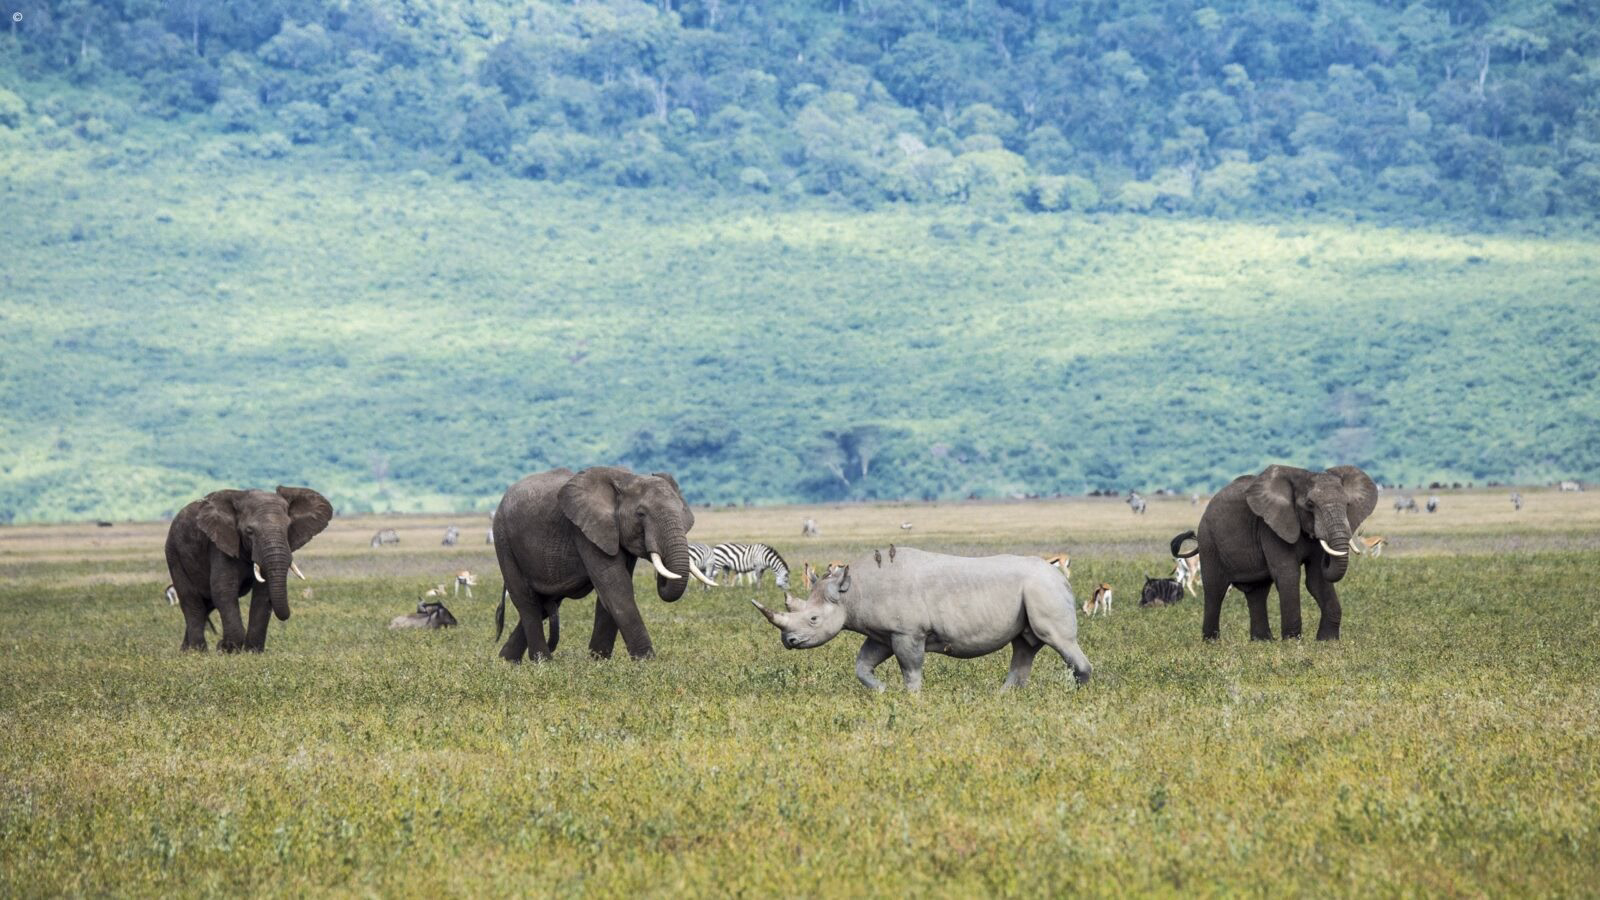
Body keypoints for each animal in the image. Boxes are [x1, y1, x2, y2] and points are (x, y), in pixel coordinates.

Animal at [164, 487, 332, 652]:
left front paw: (252, 651)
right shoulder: (220, 545)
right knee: (191, 601)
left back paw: (186, 651)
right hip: (174, 554)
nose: (219, 643)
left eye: (288, 528)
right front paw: (227, 649)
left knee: (206, 604)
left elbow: (263, 594)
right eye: (249, 531)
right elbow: (224, 590)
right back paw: (197, 651)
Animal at [491, 467, 717, 662]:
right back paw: (542, 662)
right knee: (526, 601)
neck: (627, 479)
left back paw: (506, 661)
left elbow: (610, 594)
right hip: (503, 539)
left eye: (681, 511)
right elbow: (616, 588)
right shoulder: (585, 530)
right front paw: (647, 663)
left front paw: (598, 661)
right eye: (641, 514)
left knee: (545, 603)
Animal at [750, 547, 1091, 692]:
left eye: (813, 618)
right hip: (1034, 590)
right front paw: (881, 691)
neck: (850, 592)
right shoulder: (882, 633)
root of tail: (1060, 577)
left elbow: (910, 668)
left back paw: (1075, 694)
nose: (788, 641)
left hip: (1043, 588)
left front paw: (911, 698)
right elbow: (863, 665)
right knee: (1024, 646)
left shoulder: (907, 632)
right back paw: (1004, 697)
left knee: (1057, 639)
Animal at [1173, 464, 1376, 641]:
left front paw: (1327, 641)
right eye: (1310, 504)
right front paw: (1293, 642)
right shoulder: (1270, 528)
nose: (1327, 559)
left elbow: (1317, 579)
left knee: (1257, 592)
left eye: (1348, 504)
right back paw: (1212, 642)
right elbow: (1288, 575)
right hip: (1209, 541)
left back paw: (1262, 642)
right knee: (1215, 590)